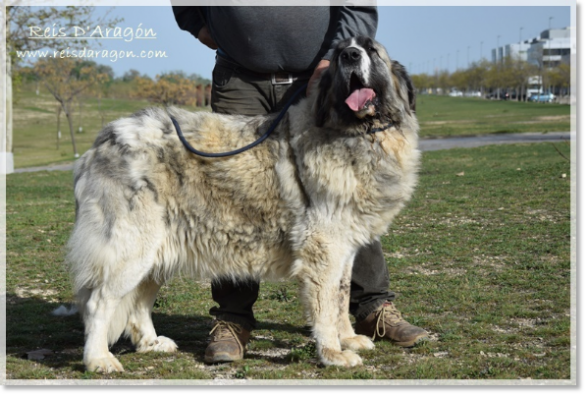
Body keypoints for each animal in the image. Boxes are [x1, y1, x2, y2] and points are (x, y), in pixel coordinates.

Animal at [66, 35, 420, 372]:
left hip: (156, 251)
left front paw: (347, 338)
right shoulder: (323, 249)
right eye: (339, 55)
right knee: (99, 303)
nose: (350, 56)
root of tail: (100, 143)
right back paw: (98, 359)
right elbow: (325, 306)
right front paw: (333, 353)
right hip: (131, 249)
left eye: (371, 50)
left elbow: (341, 297)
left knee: (138, 300)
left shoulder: (344, 250)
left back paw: (151, 344)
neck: (358, 133)